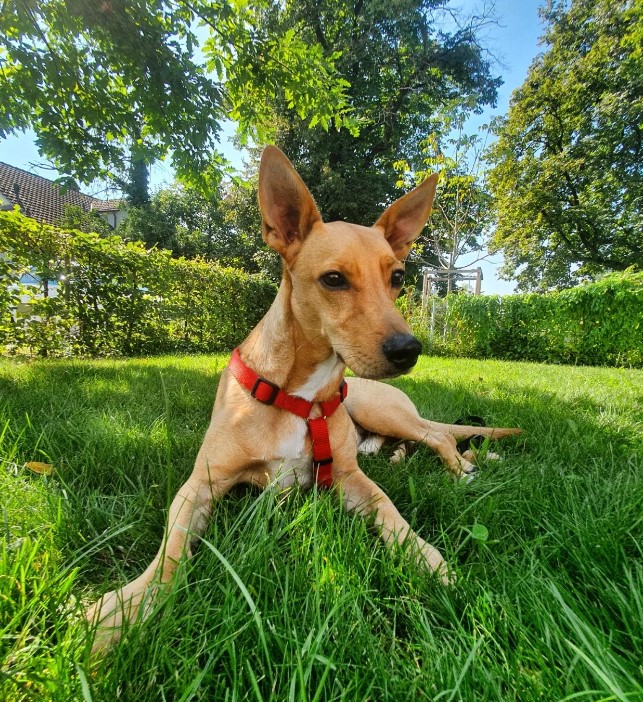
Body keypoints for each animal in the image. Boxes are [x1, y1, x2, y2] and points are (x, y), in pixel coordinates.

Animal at [85, 147, 520, 656]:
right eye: (333, 279)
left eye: (397, 277)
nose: (408, 349)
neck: (299, 393)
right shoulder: (201, 484)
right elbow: (170, 551)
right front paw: (126, 609)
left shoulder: (351, 480)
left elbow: (392, 513)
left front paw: (431, 561)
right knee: (419, 440)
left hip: (381, 409)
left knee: (437, 435)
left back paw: (462, 466)